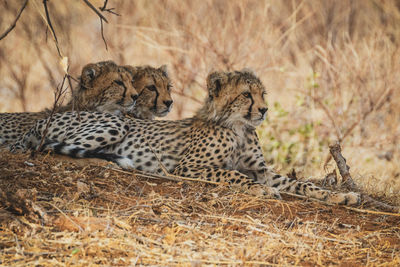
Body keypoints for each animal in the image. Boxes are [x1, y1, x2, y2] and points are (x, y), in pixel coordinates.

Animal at [14, 70, 360, 206]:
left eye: (263, 94)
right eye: (247, 95)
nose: (264, 109)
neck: (238, 127)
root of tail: (44, 117)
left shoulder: (262, 169)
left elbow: (300, 184)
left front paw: (339, 196)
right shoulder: (189, 167)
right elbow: (233, 174)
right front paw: (260, 191)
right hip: (116, 124)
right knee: (49, 152)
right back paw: (114, 163)